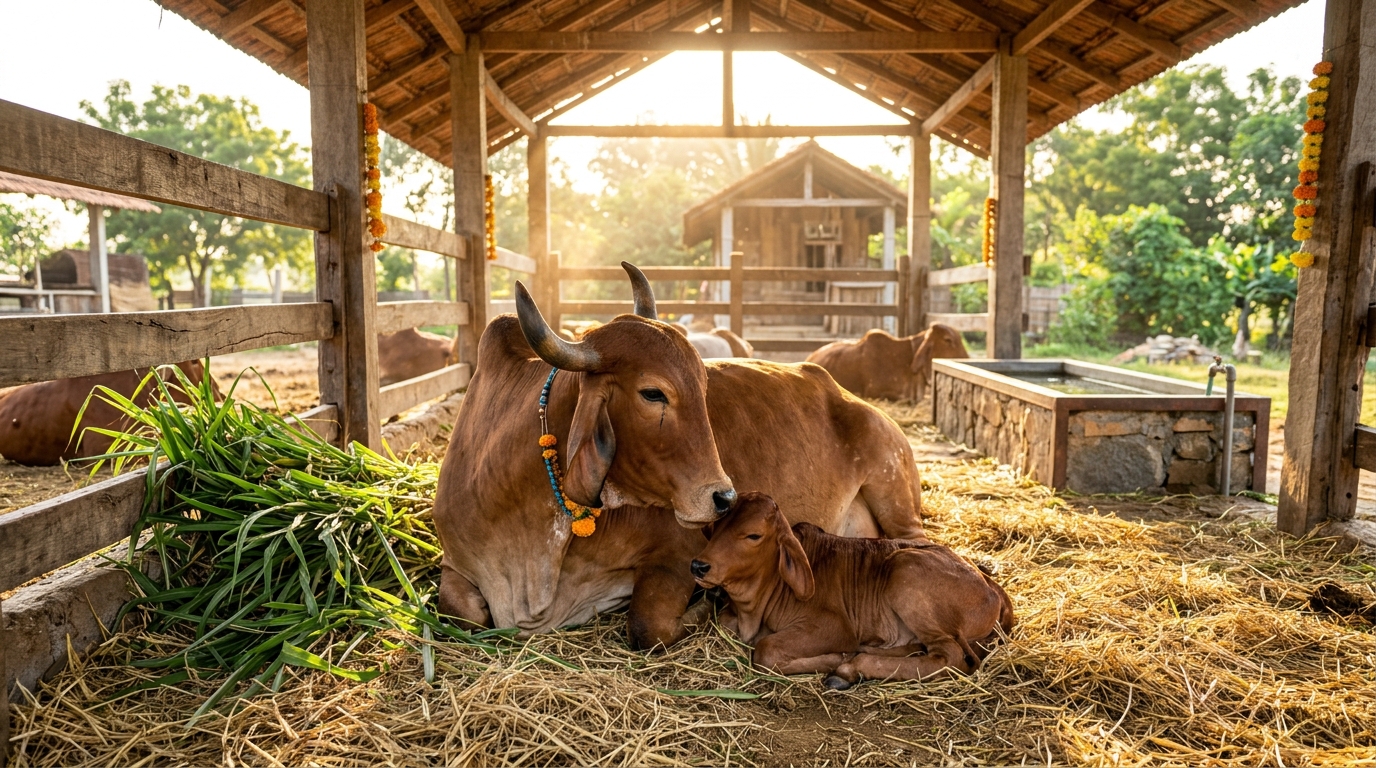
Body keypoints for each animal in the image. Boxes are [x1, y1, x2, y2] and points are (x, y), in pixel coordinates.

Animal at [433, 264, 926, 649]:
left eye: (704, 385)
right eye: (653, 393)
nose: (725, 500)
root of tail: (844, 394)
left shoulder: (678, 554)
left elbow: (647, 626)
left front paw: (707, 606)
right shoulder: (456, 561)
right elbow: (460, 610)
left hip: (893, 494)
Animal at [690, 492, 1015, 689]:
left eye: (753, 535)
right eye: (715, 527)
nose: (698, 565)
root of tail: (994, 588)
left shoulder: (833, 626)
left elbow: (766, 650)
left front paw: (836, 659)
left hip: (904, 569)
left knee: (950, 656)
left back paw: (848, 668)